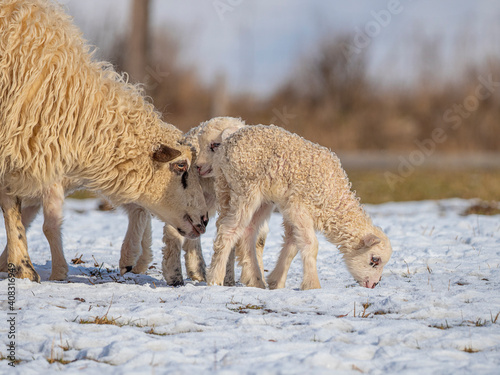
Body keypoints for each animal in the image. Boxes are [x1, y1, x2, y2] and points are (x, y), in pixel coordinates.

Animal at [197, 117, 392, 290]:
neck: (332, 199)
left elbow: (292, 244)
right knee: (228, 230)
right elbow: (310, 245)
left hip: (252, 197)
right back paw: (215, 278)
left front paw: (277, 282)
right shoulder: (298, 207)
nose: (374, 284)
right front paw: (312, 285)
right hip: (243, 189)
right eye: (375, 260)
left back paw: (255, 280)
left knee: (247, 232)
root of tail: (229, 140)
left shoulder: (291, 210)